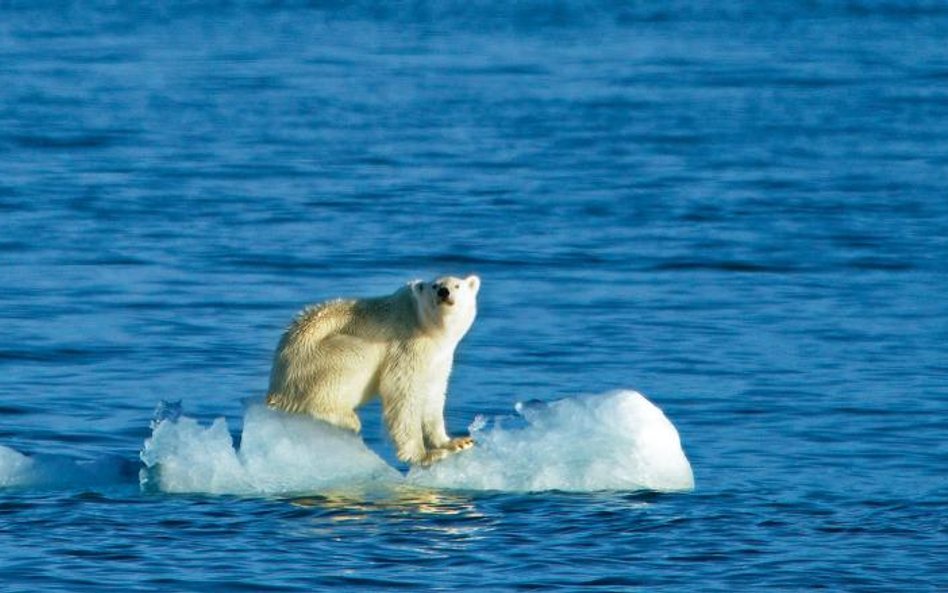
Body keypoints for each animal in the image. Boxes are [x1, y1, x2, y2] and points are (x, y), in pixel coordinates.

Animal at [262, 276, 478, 464]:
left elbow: (433, 393)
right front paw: (425, 455)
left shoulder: (440, 357)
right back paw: (348, 419)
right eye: (435, 286)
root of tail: (276, 387)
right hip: (319, 359)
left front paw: (457, 442)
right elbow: (402, 392)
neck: (423, 324)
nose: (444, 292)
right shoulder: (406, 344)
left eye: (457, 286)